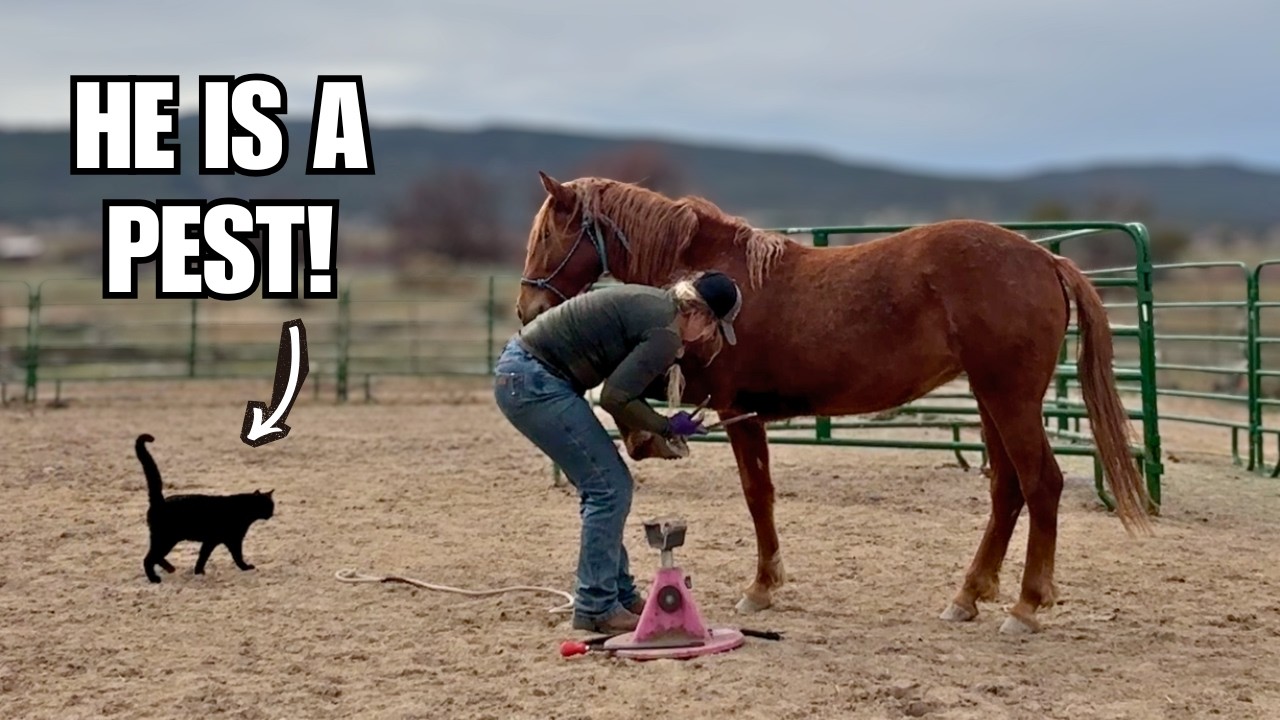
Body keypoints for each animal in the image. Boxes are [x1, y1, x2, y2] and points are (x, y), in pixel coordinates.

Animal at [514, 171, 1155, 635]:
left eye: (547, 235)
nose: (525, 309)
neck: (715, 281)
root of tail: (1046, 258)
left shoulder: (732, 406)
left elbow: (757, 494)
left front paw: (761, 588)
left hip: (1009, 396)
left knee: (1041, 484)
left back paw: (1024, 607)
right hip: (990, 397)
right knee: (1008, 490)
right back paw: (968, 596)